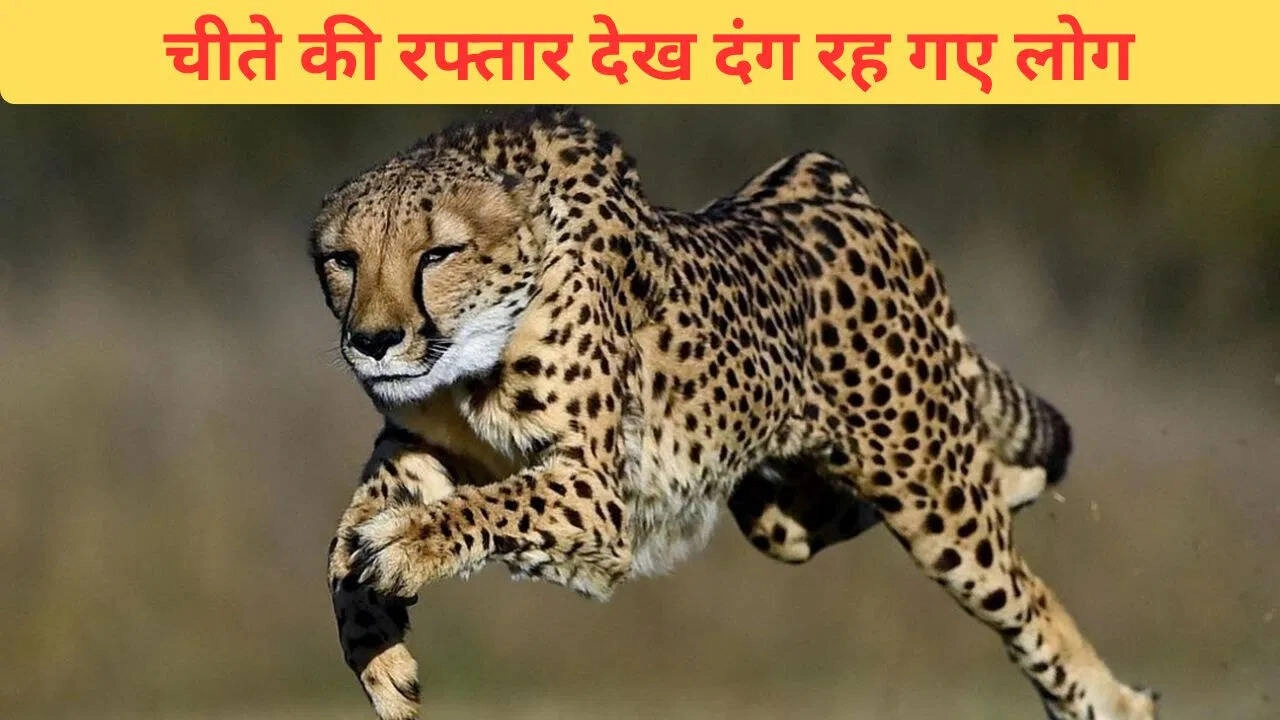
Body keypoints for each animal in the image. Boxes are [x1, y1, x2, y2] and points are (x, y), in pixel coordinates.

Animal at [310, 107, 1158, 720]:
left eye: (437, 254)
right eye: (342, 259)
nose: (373, 342)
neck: (468, 356)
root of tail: (830, 186)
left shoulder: (596, 491)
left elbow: (485, 506)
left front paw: (409, 546)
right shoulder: (415, 449)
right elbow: (340, 548)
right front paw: (380, 657)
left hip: (931, 499)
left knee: (1026, 594)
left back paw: (1110, 701)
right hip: (776, 509)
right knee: (873, 507)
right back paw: (1018, 483)